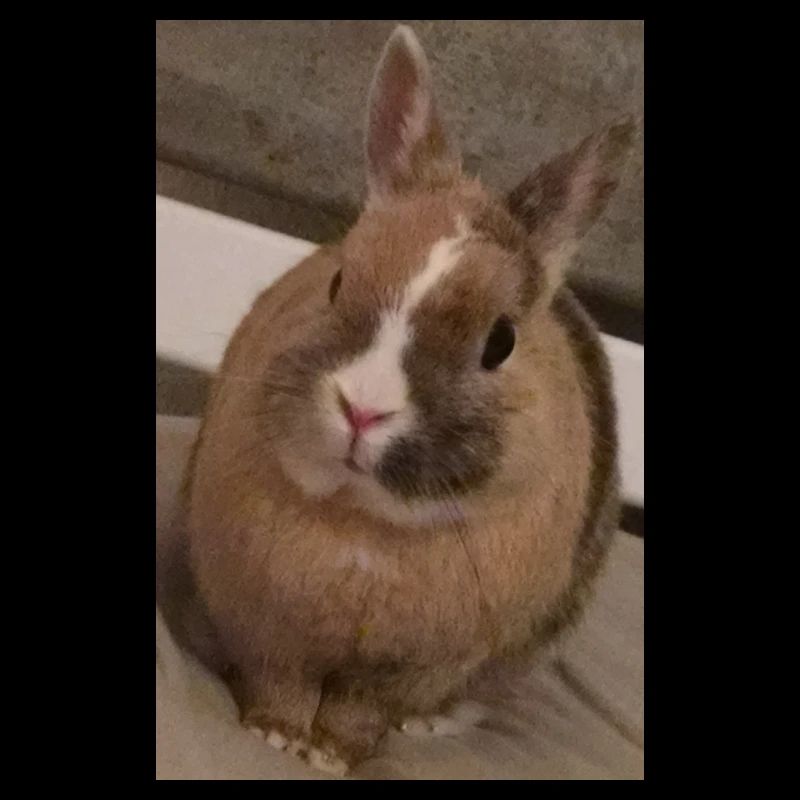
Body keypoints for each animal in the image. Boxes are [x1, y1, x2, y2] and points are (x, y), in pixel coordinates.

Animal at [183, 24, 636, 776]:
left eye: (501, 341)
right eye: (337, 281)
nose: (363, 409)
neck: (362, 522)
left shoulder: (411, 669)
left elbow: (361, 711)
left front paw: (332, 754)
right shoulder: (264, 628)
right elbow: (280, 682)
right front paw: (276, 735)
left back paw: (430, 726)